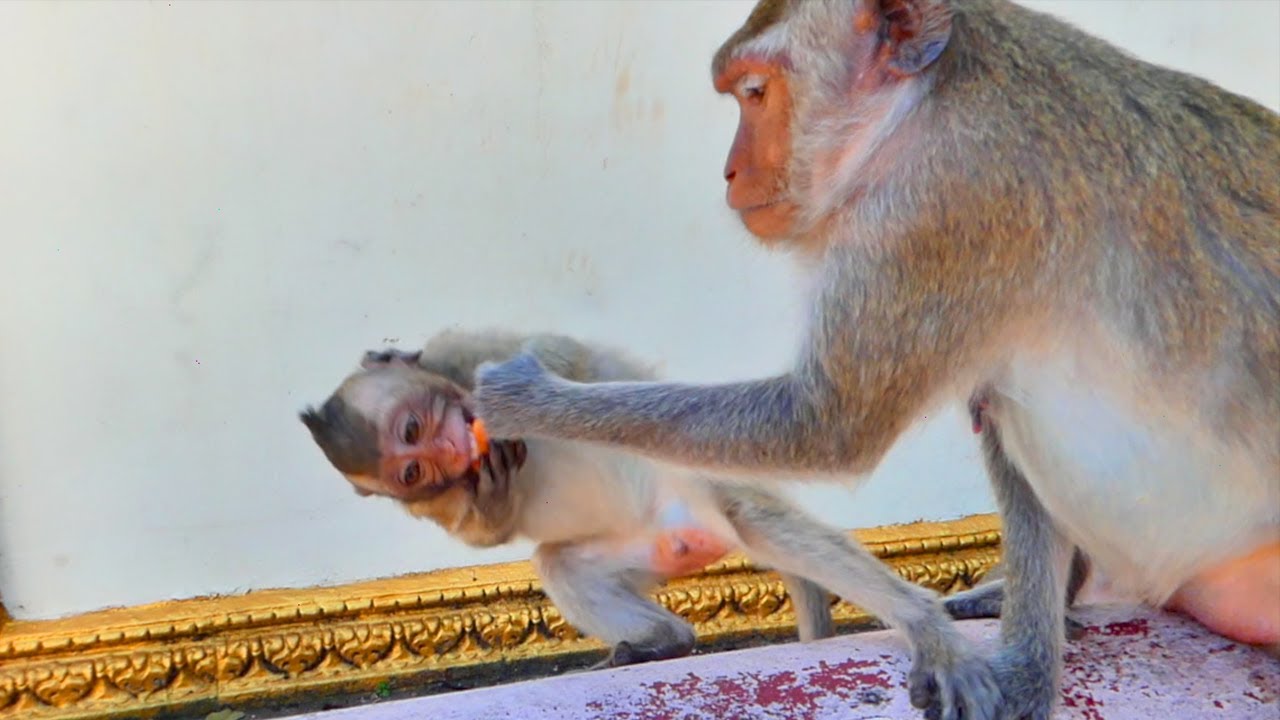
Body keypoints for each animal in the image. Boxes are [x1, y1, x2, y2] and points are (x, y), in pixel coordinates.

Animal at [300, 329, 1000, 718]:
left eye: (413, 428)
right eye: (410, 466)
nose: (449, 450)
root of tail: (689, 531)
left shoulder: (470, 353)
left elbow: (571, 364)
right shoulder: (431, 500)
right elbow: (483, 533)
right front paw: (492, 491)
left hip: (694, 476)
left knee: (749, 514)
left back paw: (919, 619)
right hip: (650, 544)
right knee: (562, 562)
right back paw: (663, 639)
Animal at [470, 1, 1280, 719]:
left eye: (756, 93)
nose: (730, 172)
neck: (921, 105)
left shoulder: (933, 211)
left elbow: (827, 426)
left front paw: (527, 397)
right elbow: (986, 407)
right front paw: (1026, 661)